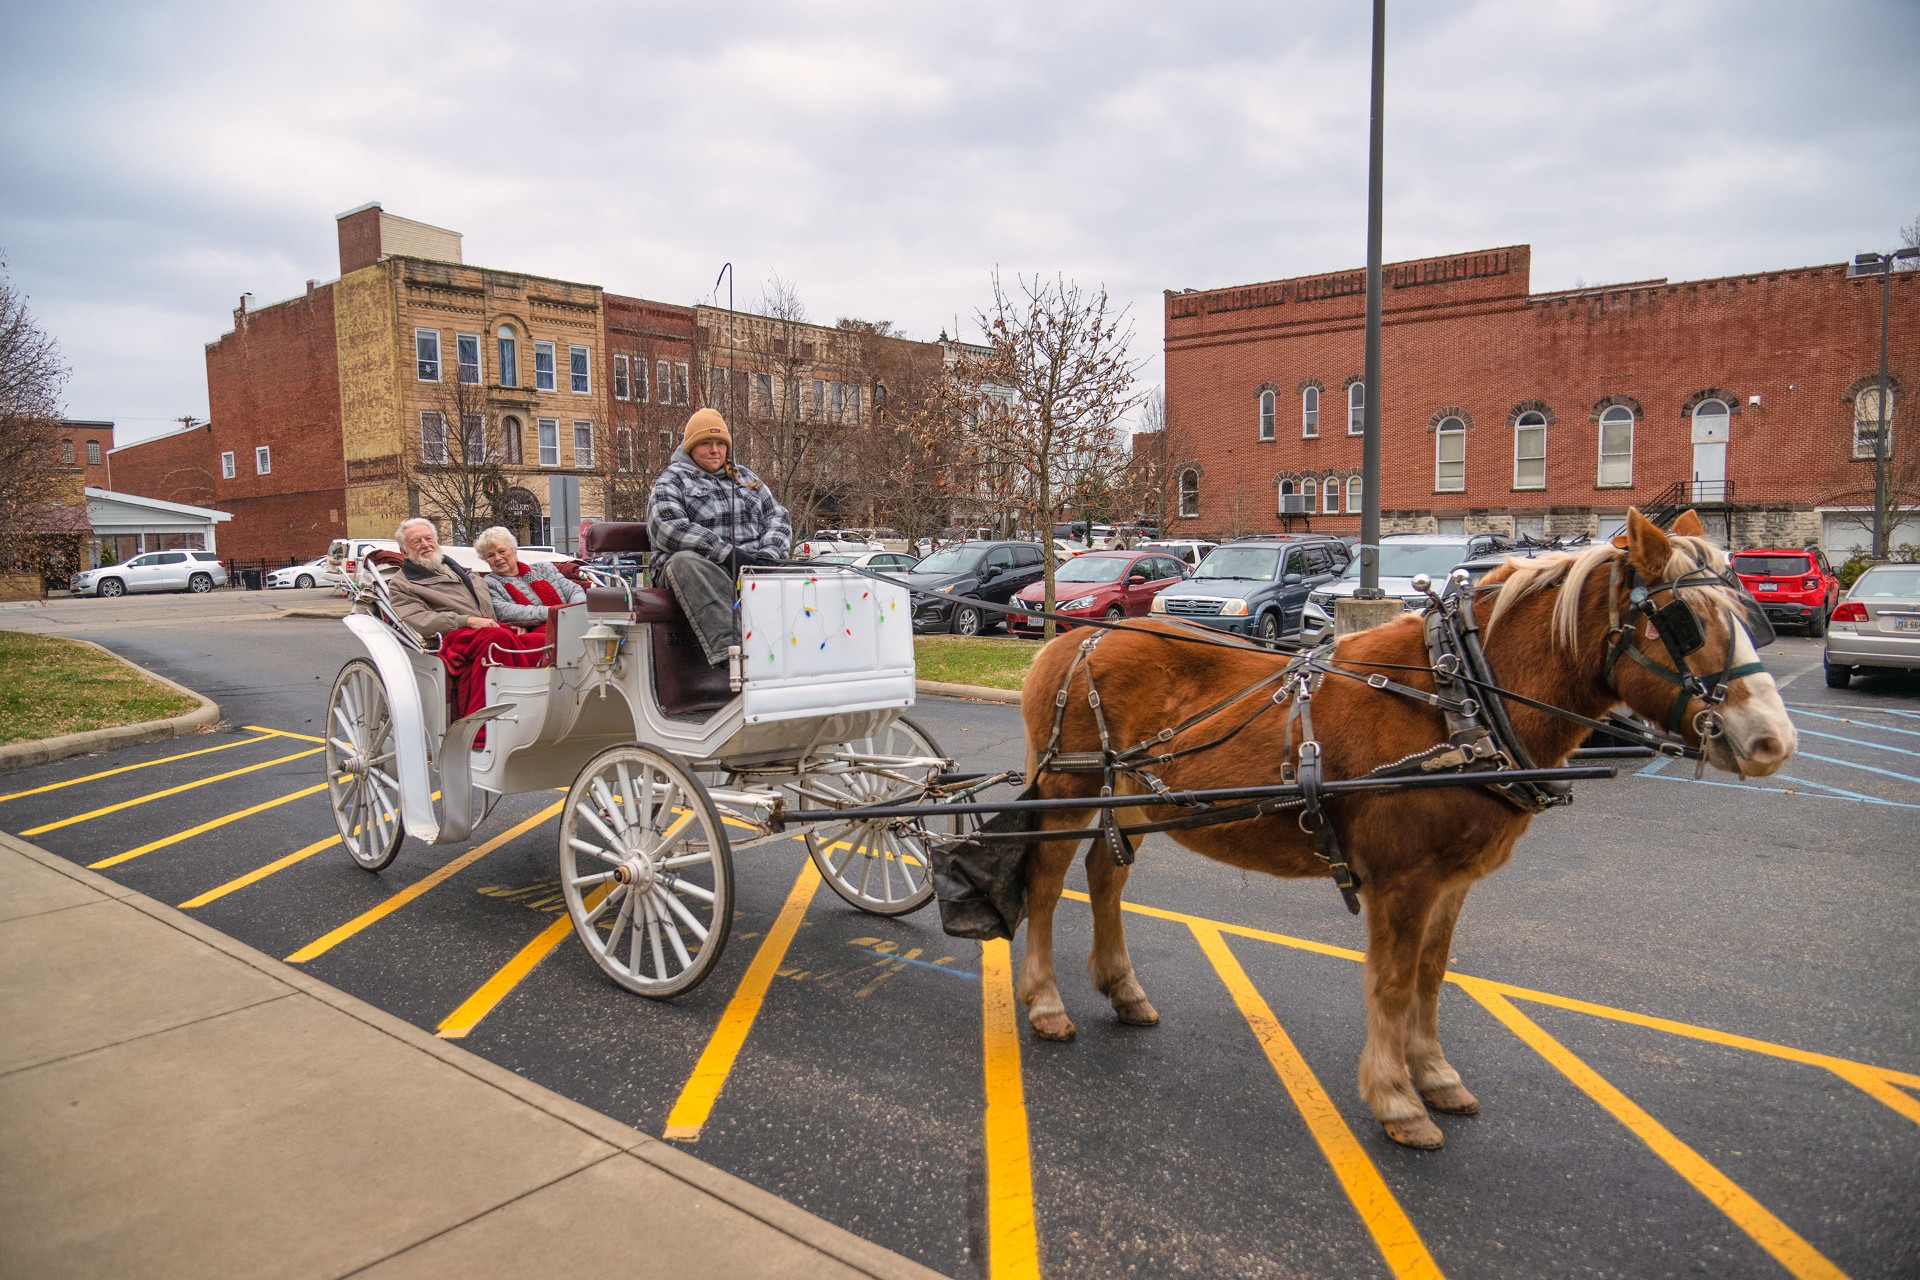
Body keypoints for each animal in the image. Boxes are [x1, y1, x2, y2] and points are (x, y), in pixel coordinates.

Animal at [1029, 510, 1789, 1151]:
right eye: (1686, 622)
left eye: (1750, 616)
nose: (1772, 741)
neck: (1462, 701)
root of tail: (1073, 641)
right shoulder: (1403, 881)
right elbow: (1393, 983)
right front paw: (1397, 1100)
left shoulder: (1451, 883)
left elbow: (1430, 975)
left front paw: (1435, 1077)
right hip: (1067, 794)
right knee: (1046, 885)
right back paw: (1044, 1001)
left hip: (1132, 798)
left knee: (1106, 876)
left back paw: (1123, 990)